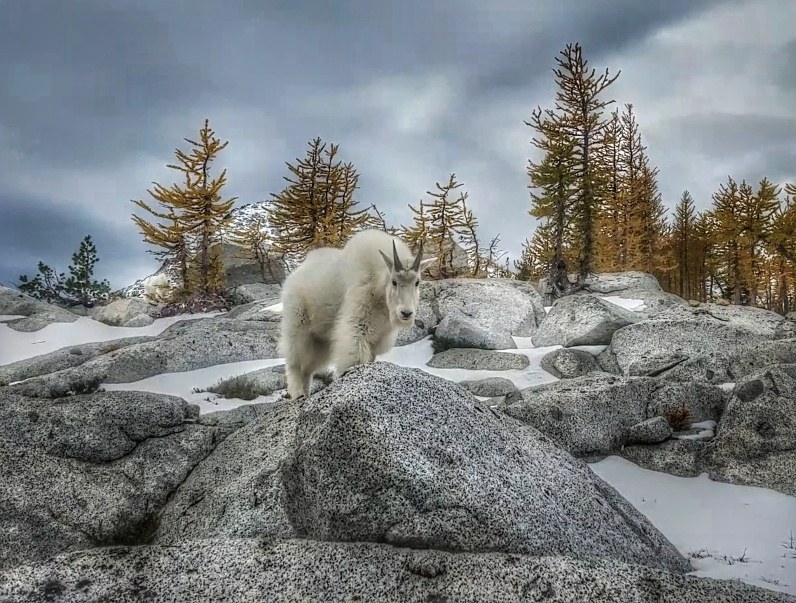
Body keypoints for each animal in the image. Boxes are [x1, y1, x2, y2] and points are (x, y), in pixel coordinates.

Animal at [276, 231, 436, 402]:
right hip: (297, 321)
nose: (406, 313)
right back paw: (298, 393)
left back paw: (306, 394)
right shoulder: (358, 322)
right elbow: (355, 355)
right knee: (295, 362)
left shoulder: (379, 336)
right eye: (394, 282)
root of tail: (295, 274)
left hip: (320, 338)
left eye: (417, 282)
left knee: (308, 368)